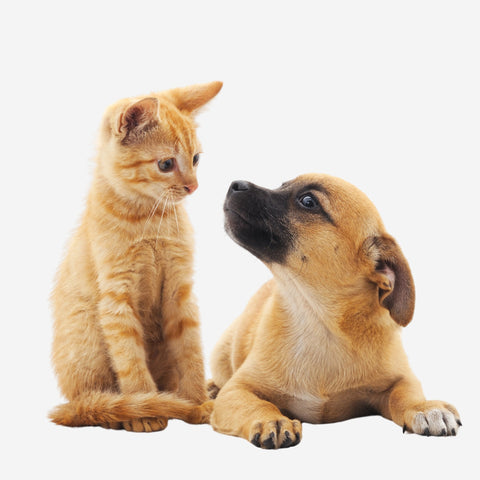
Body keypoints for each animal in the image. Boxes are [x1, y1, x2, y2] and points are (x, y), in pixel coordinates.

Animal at [49, 79, 222, 432]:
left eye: (196, 158)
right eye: (166, 164)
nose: (193, 187)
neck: (148, 217)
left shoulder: (181, 290)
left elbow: (191, 352)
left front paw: (197, 402)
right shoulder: (117, 298)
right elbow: (130, 360)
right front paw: (147, 409)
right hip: (88, 340)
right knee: (90, 406)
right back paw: (120, 412)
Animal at [210, 174, 462, 448]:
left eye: (308, 201)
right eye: (282, 185)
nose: (235, 184)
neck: (318, 321)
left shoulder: (402, 379)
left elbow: (405, 395)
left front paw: (425, 408)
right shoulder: (237, 390)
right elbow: (253, 403)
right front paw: (271, 419)